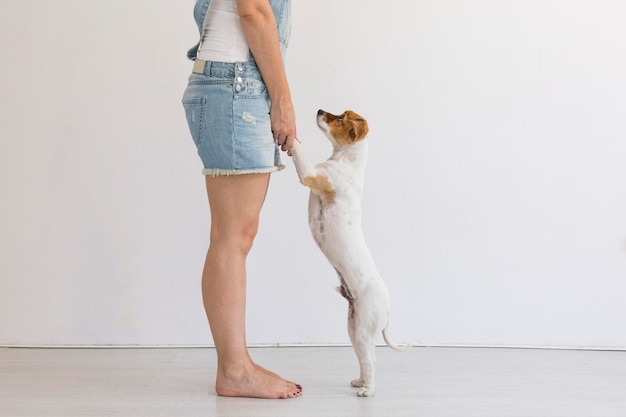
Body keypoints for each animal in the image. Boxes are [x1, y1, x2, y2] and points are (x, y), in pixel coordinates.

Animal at [288, 109, 410, 394]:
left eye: (341, 118)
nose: (320, 110)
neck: (346, 163)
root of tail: (387, 308)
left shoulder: (310, 174)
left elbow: (299, 150)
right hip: (353, 329)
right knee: (364, 360)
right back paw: (360, 381)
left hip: (364, 330)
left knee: (372, 361)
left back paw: (368, 390)